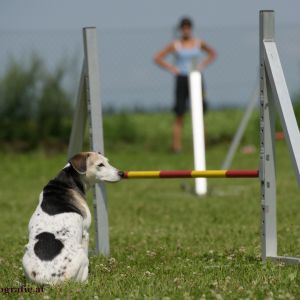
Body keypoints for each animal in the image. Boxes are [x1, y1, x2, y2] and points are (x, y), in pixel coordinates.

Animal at [22, 151, 122, 284]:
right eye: (100, 165)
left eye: (107, 161)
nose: (121, 173)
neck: (66, 183)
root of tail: (49, 280)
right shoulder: (85, 233)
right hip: (81, 256)